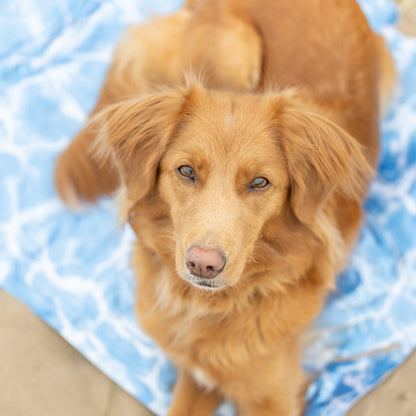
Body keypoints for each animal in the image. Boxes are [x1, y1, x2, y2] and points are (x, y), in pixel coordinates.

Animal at [55, 0, 396, 416]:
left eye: (260, 182)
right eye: (186, 171)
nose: (203, 264)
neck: (211, 305)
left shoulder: (273, 396)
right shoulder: (195, 373)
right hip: (235, 51)